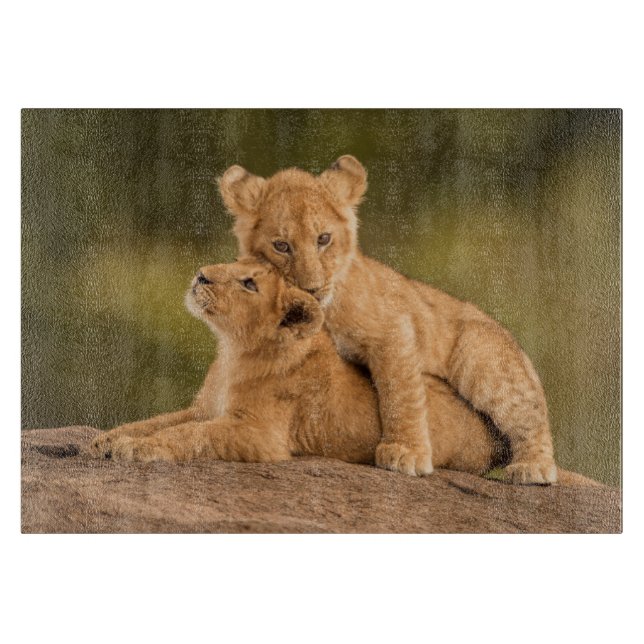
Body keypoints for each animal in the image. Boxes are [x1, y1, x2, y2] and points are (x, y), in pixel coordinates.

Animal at [91, 259, 508, 474]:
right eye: (236, 262)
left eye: (249, 283)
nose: (201, 274)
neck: (231, 351)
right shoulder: (204, 408)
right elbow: (158, 421)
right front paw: (108, 439)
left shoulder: (260, 434)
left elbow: (190, 434)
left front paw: (138, 448)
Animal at [218, 156, 557, 483]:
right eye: (281, 245)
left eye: (323, 239)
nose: (312, 288)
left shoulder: (393, 329)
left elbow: (400, 394)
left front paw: (406, 452)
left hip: (481, 355)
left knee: (529, 413)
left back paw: (534, 468)